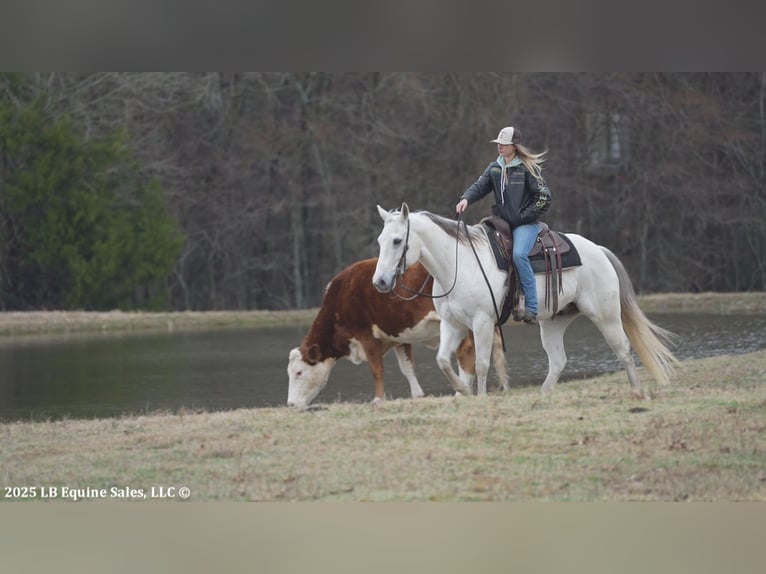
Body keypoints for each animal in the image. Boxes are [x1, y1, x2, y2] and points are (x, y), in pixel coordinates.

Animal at [372, 204, 680, 400]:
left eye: (398, 241)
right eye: (380, 240)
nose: (380, 282)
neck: (459, 265)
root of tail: (599, 250)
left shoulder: (482, 323)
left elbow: (481, 364)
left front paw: (479, 397)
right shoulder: (453, 324)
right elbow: (443, 361)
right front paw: (464, 391)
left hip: (606, 316)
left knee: (623, 350)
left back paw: (637, 391)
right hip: (553, 322)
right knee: (558, 361)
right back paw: (543, 395)